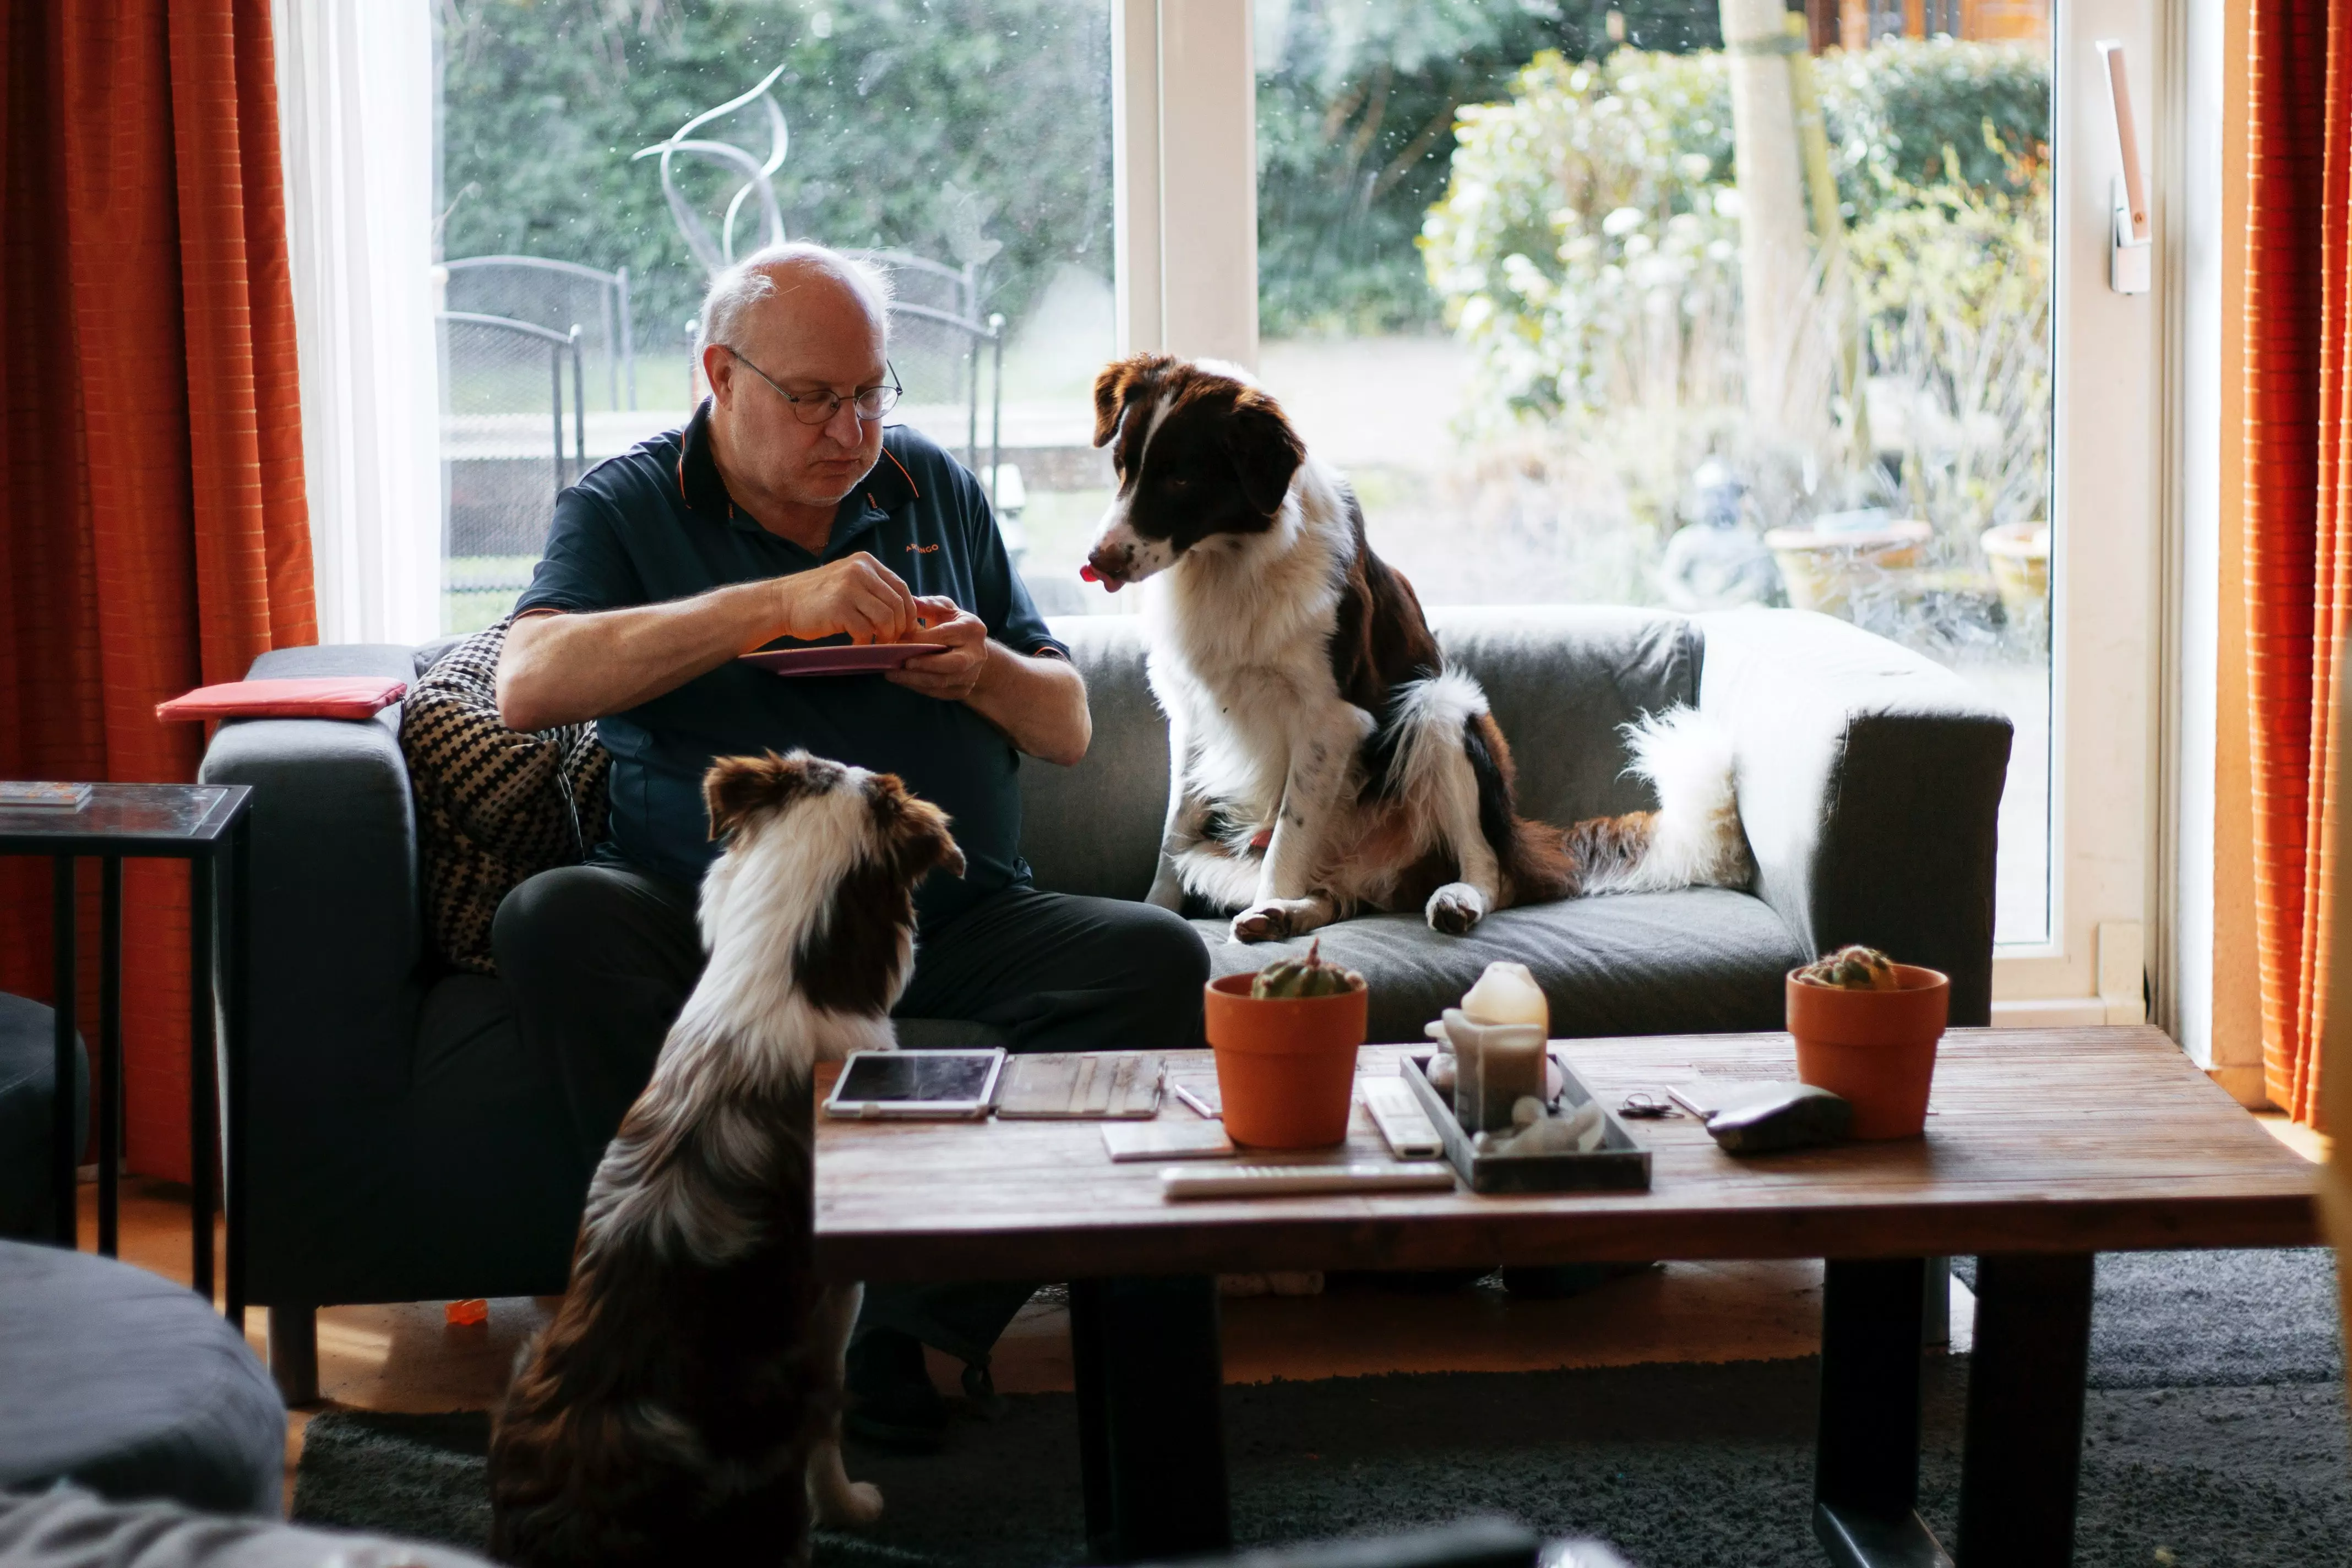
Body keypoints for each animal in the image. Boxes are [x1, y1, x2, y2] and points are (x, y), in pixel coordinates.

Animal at [1082, 357, 1750, 945]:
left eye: (1181, 477)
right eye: (1122, 466)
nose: (1099, 560)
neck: (1230, 562)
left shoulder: (1330, 720)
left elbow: (1287, 838)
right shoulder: (1191, 714)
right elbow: (1173, 834)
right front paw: (1159, 911)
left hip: (1440, 708)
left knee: (1489, 869)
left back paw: (1451, 900)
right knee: (1337, 895)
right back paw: (1289, 915)